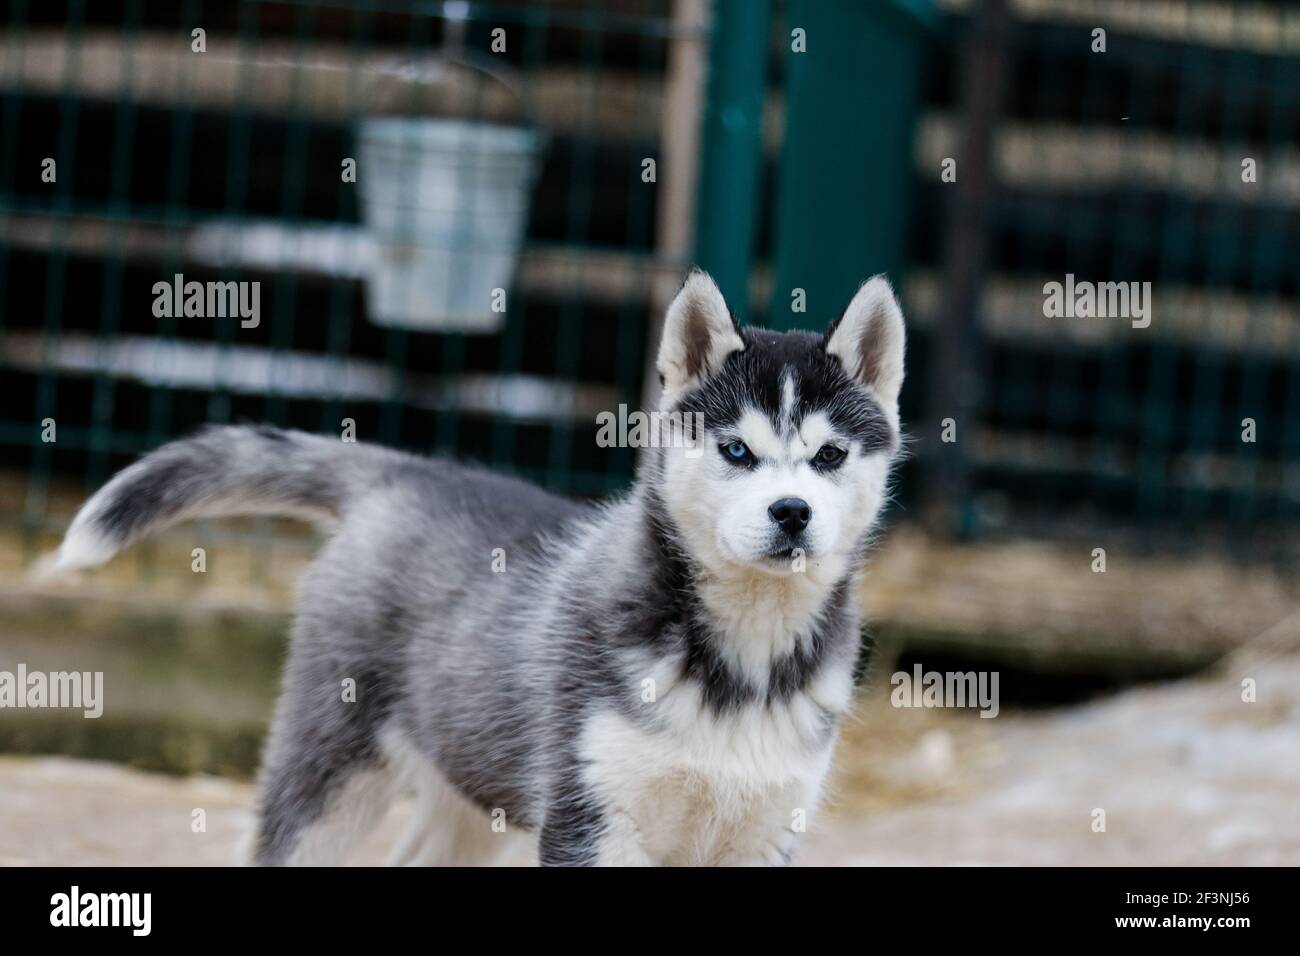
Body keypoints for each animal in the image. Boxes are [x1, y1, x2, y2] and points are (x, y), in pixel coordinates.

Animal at [58, 269, 904, 868]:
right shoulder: (588, 820)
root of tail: (410, 472)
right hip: (331, 767)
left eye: (830, 456)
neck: (745, 656)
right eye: (736, 451)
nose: (792, 513)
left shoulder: (765, 830)